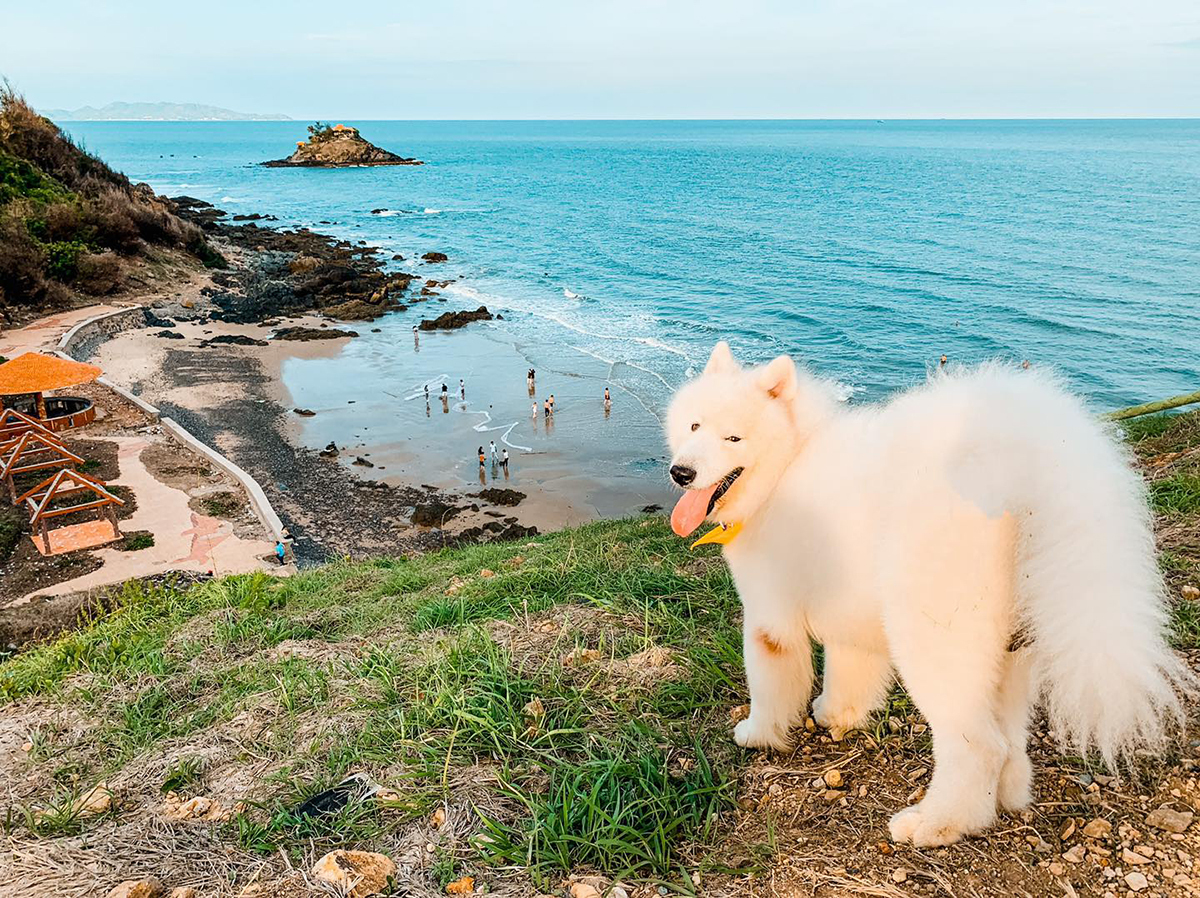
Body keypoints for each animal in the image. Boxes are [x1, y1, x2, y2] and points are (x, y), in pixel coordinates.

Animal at [667, 340, 1190, 845]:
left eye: (734, 438)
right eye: (694, 425)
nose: (681, 473)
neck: (788, 463)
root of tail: (1023, 467)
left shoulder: (768, 617)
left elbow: (768, 685)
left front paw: (758, 734)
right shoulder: (848, 610)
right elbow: (848, 671)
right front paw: (837, 714)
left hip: (934, 637)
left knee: (979, 745)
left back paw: (937, 824)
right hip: (1009, 654)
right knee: (1009, 739)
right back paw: (1003, 800)